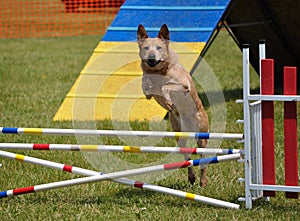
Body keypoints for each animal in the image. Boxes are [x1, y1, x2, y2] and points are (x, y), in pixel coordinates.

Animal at [138, 23, 209, 186]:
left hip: (202, 135)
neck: (159, 71)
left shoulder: (183, 85)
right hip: (179, 135)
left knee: (202, 158)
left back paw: (202, 181)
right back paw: (191, 177)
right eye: (146, 48)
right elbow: (145, 83)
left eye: (158, 47)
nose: (151, 58)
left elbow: (166, 86)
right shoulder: (148, 91)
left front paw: (169, 101)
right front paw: (148, 84)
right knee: (188, 158)